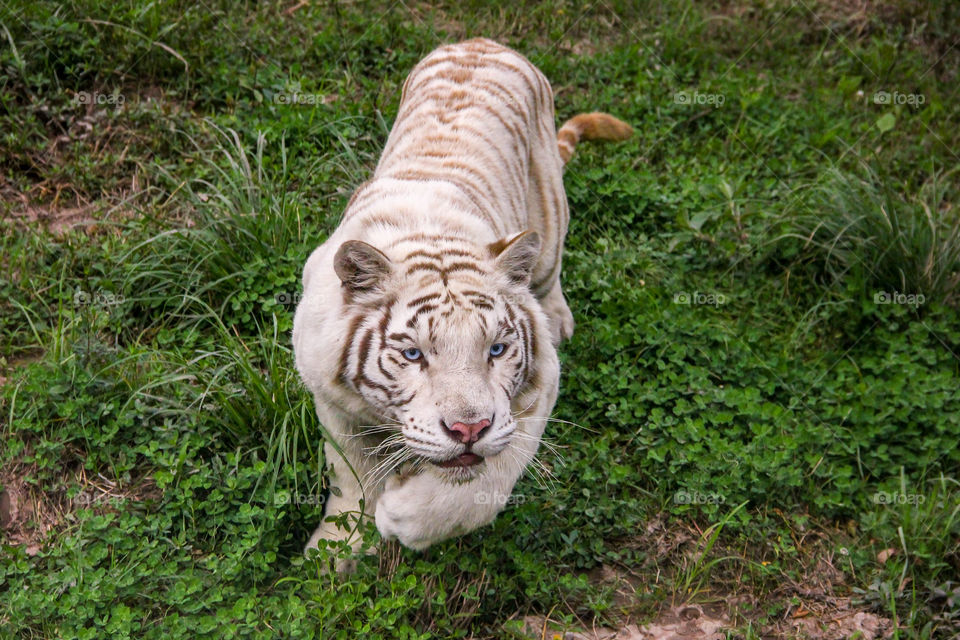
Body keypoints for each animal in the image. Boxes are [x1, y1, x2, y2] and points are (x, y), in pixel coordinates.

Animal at [296, 37, 632, 564]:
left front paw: (405, 516)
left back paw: (558, 317)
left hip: (549, 217)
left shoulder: (540, 386)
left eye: (496, 349)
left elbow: (484, 482)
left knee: (551, 267)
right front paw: (336, 550)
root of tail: (483, 42)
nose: (468, 430)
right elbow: (350, 477)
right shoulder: (330, 398)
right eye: (413, 354)